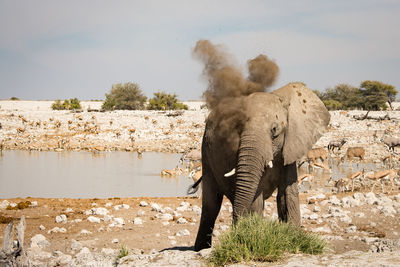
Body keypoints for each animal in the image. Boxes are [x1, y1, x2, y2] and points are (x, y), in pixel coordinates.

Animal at [193, 82, 328, 252]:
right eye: (239, 129)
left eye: (274, 130)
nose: (236, 234)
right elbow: (255, 195)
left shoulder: (290, 145)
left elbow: (287, 193)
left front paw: (294, 239)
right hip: (205, 151)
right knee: (211, 205)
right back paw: (200, 249)